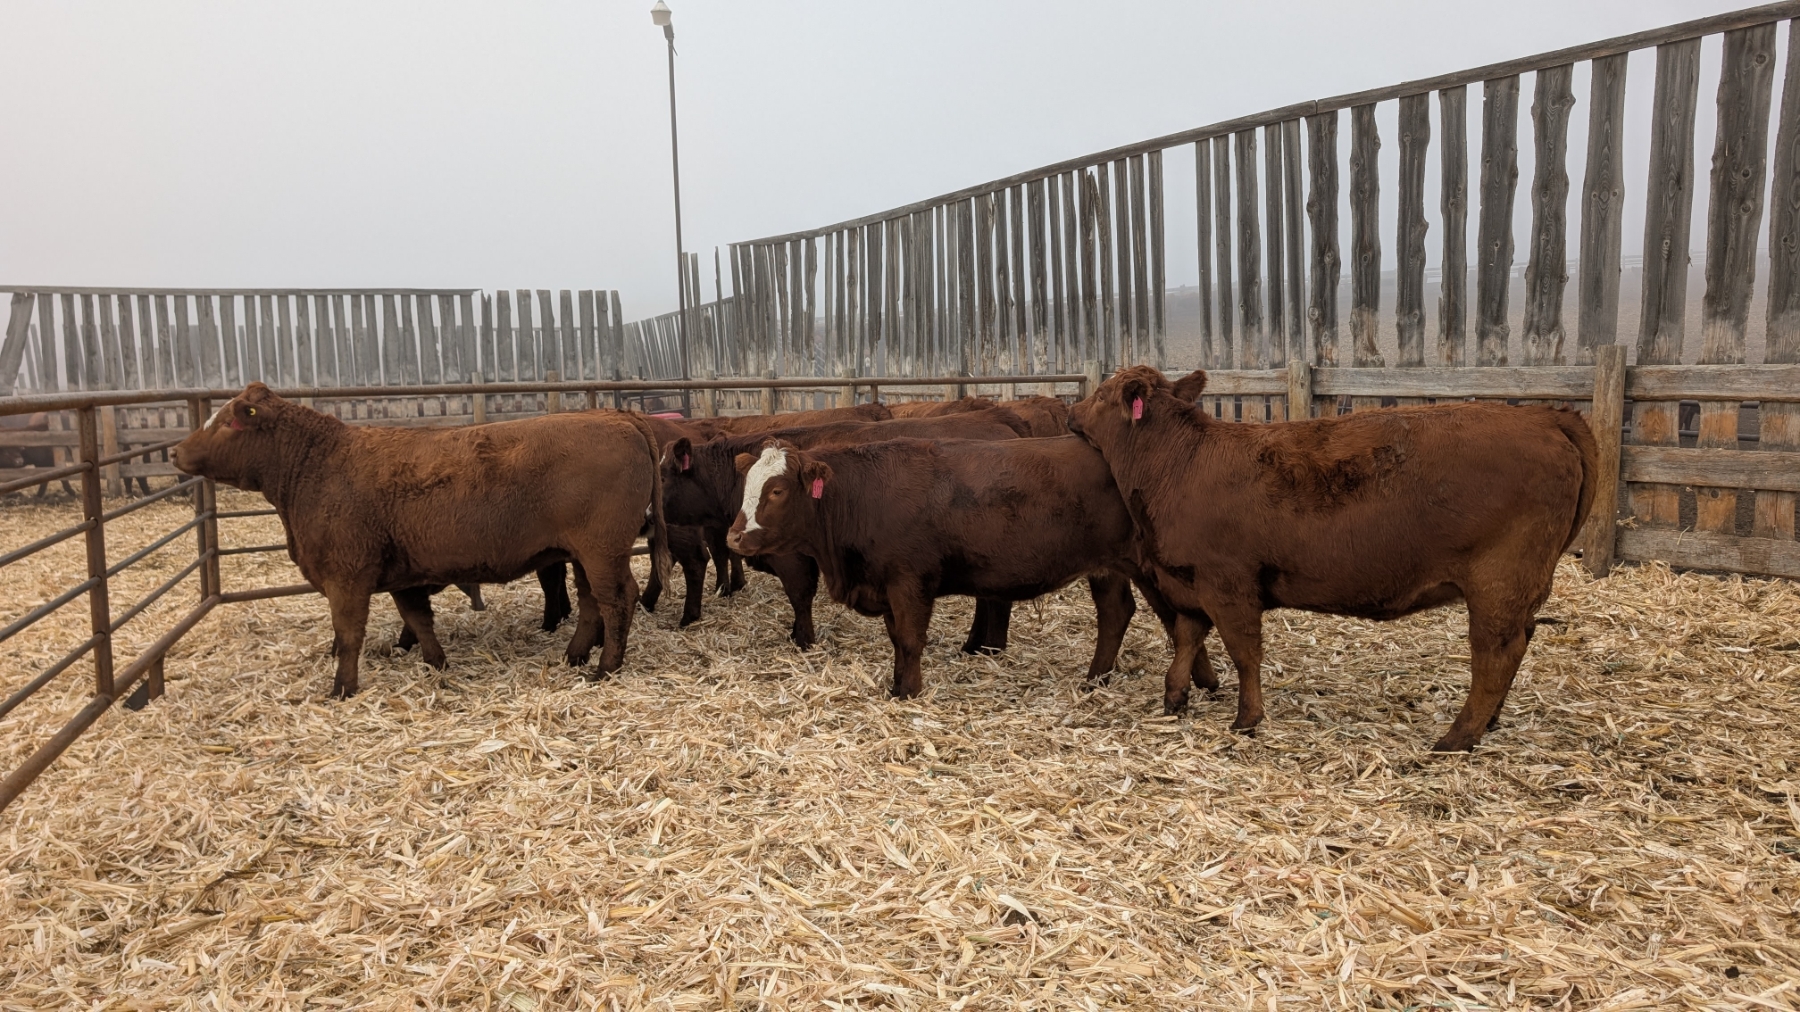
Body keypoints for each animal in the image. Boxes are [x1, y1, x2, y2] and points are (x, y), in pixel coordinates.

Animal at [171, 383, 670, 697]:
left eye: (229, 422)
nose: (175, 451)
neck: (319, 465)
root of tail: (619, 418)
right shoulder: (402, 576)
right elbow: (419, 620)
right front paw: (436, 664)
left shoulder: (347, 575)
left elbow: (348, 635)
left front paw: (342, 688)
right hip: (584, 554)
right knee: (591, 603)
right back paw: (575, 656)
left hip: (602, 550)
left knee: (616, 600)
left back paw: (606, 667)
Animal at [660, 408, 1032, 649]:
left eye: (662, 476)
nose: (649, 509)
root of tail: (997, 418)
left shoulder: (793, 557)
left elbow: (799, 596)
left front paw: (803, 640)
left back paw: (985, 647)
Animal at [722, 435, 1199, 700]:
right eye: (745, 487)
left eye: (778, 490)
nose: (734, 537)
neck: (862, 496)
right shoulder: (887, 585)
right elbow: (897, 641)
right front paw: (897, 685)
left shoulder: (909, 582)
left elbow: (910, 639)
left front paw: (909, 692)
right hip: (1110, 566)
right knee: (1118, 613)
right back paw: (1100, 679)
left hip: (1151, 566)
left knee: (1179, 618)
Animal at [1066, 366, 1598, 752]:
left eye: (1101, 394)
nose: (1071, 411)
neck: (1179, 462)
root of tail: (1545, 416)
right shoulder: (1191, 584)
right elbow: (1187, 639)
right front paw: (1174, 697)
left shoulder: (1228, 583)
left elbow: (1244, 652)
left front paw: (1247, 719)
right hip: (1519, 587)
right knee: (1519, 642)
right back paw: (1489, 723)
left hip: (1498, 582)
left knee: (1495, 653)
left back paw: (1457, 737)